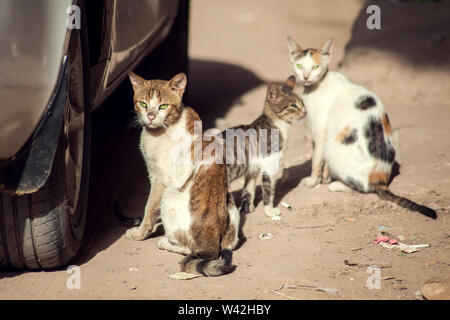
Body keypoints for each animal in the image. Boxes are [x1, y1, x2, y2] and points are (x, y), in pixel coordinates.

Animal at [125, 72, 241, 276]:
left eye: (163, 106)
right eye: (143, 104)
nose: (151, 116)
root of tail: (211, 237)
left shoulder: (160, 179)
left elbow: (149, 209)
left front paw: (140, 233)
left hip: (169, 194)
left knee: (190, 249)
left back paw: (164, 241)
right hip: (232, 209)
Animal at [224, 76, 306, 220]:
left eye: (302, 103)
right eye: (293, 105)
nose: (305, 111)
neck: (278, 124)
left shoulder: (252, 169)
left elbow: (248, 189)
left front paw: (247, 208)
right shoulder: (269, 163)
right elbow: (269, 190)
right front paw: (269, 211)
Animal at [286, 36, 438, 219]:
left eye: (315, 67)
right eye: (299, 66)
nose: (306, 77)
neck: (317, 86)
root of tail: (381, 180)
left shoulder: (320, 132)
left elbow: (316, 160)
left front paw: (313, 181)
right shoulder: (328, 130)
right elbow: (324, 164)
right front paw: (326, 178)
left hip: (334, 147)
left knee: (363, 188)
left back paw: (336, 185)